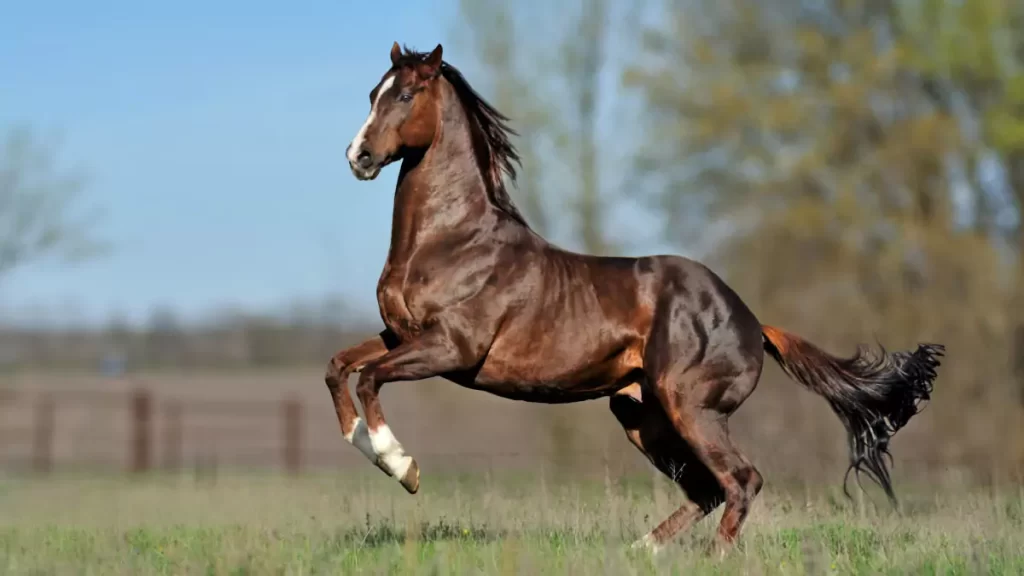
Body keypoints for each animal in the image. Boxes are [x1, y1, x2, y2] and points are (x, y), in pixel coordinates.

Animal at [325, 40, 942, 553]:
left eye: (406, 94)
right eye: (374, 94)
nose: (357, 157)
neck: (453, 241)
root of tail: (753, 321)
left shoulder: (452, 349)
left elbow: (371, 377)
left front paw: (402, 467)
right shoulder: (400, 335)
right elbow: (340, 367)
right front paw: (363, 442)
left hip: (690, 407)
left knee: (741, 481)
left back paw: (711, 558)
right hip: (641, 414)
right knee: (706, 490)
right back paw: (640, 550)